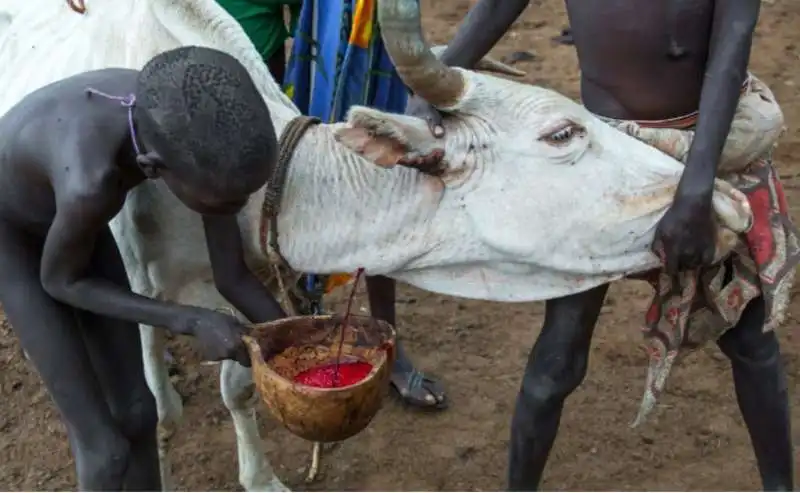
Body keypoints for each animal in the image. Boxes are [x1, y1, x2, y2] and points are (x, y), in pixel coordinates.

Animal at [0, 0, 752, 490]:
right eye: (563, 133)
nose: (728, 205)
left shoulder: (248, 277)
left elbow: (241, 380)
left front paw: (259, 472)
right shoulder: (129, 249)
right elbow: (149, 326)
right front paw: (176, 412)